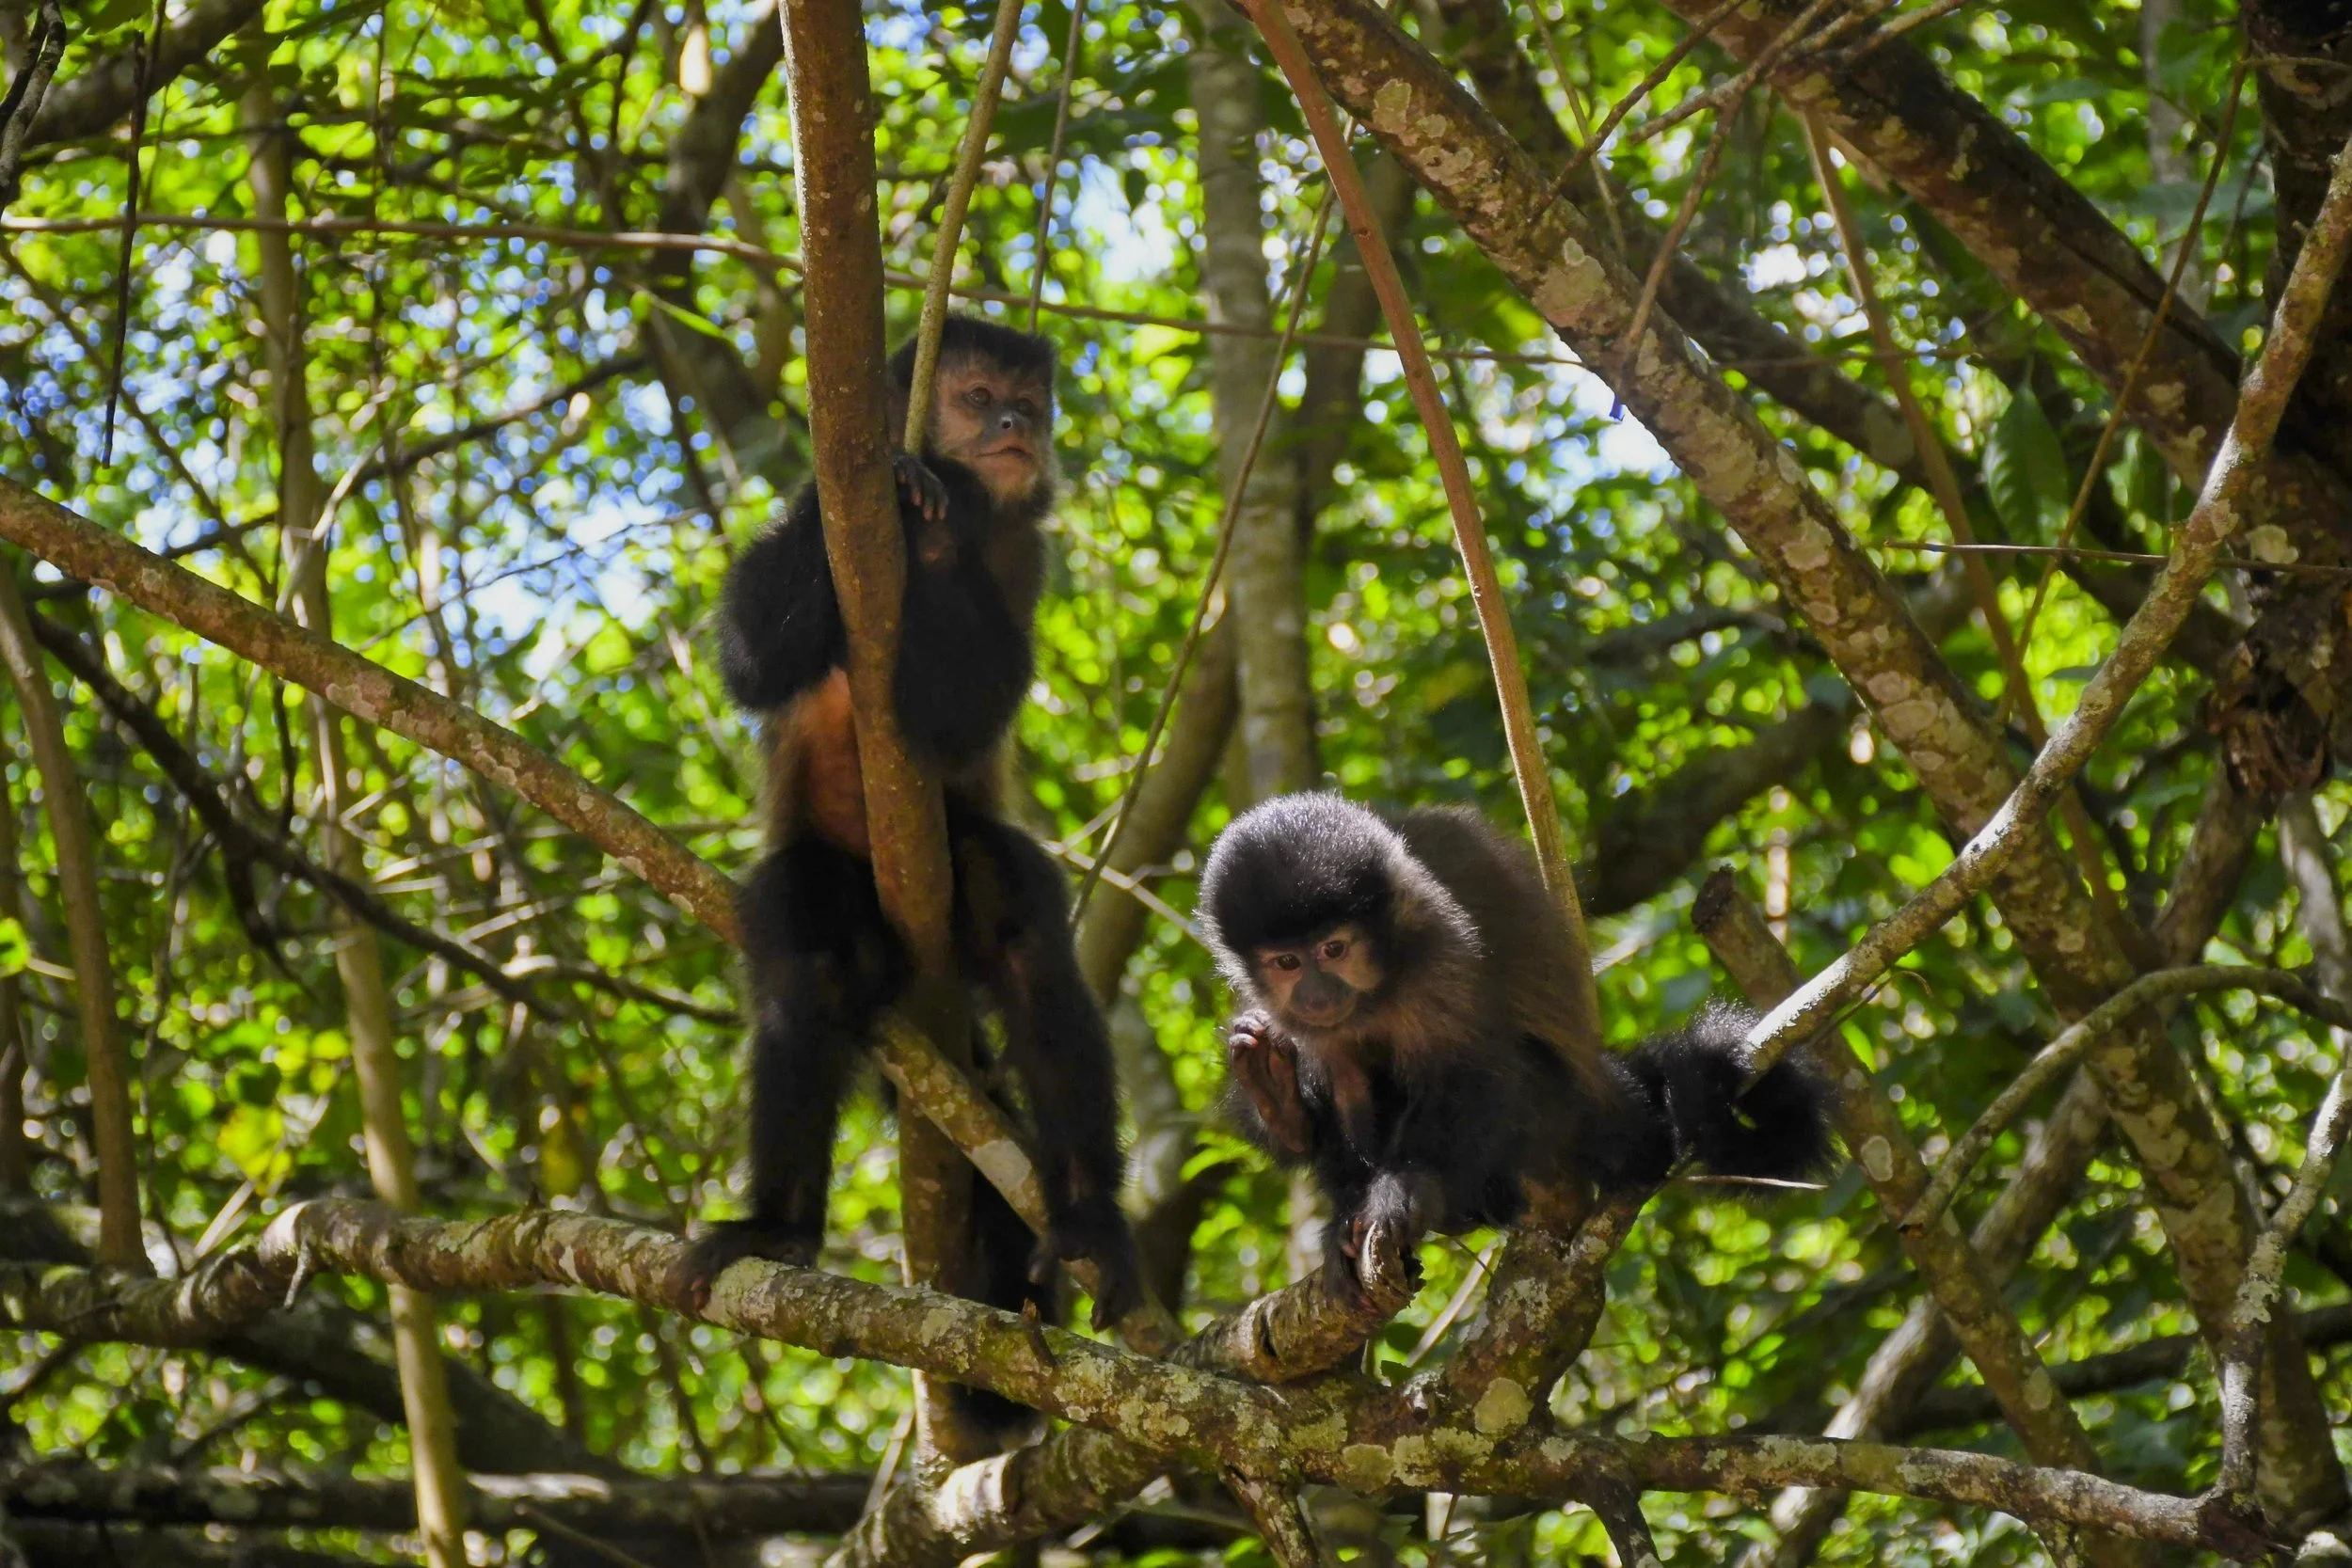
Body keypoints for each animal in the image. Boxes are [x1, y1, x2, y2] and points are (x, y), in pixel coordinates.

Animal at [676, 317, 1143, 1395]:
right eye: (975, 396)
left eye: (1030, 403)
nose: (1014, 427)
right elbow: (755, 659)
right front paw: (902, 479)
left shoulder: (1026, 549)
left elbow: (967, 707)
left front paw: (940, 516)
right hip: (831, 884)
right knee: (812, 965)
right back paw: (780, 1225)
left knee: (1021, 941)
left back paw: (1087, 1213)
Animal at [1198, 793, 1832, 1308]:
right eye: (1287, 962)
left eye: (1334, 949)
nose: (1316, 992)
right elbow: (1339, 1080)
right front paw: (1332, 1183)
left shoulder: (1440, 949)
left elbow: (1475, 1067)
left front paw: (1404, 1188)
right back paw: (1280, 1100)